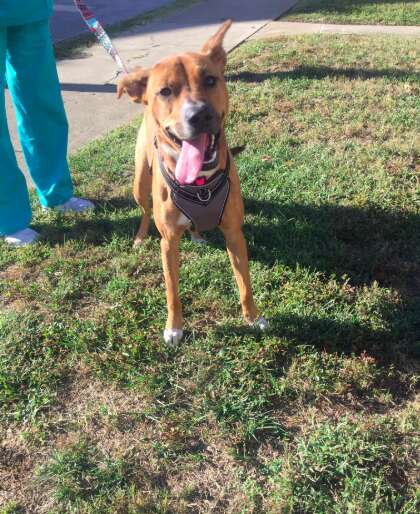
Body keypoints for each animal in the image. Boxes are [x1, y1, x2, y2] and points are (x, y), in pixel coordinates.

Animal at [117, 20, 266, 342]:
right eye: (165, 91)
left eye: (210, 80)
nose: (200, 114)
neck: (200, 186)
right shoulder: (168, 243)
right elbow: (172, 293)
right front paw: (174, 328)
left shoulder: (234, 233)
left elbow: (245, 284)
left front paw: (253, 318)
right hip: (139, 184)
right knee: (144, 210)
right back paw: (139, 237)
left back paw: (197, 234)